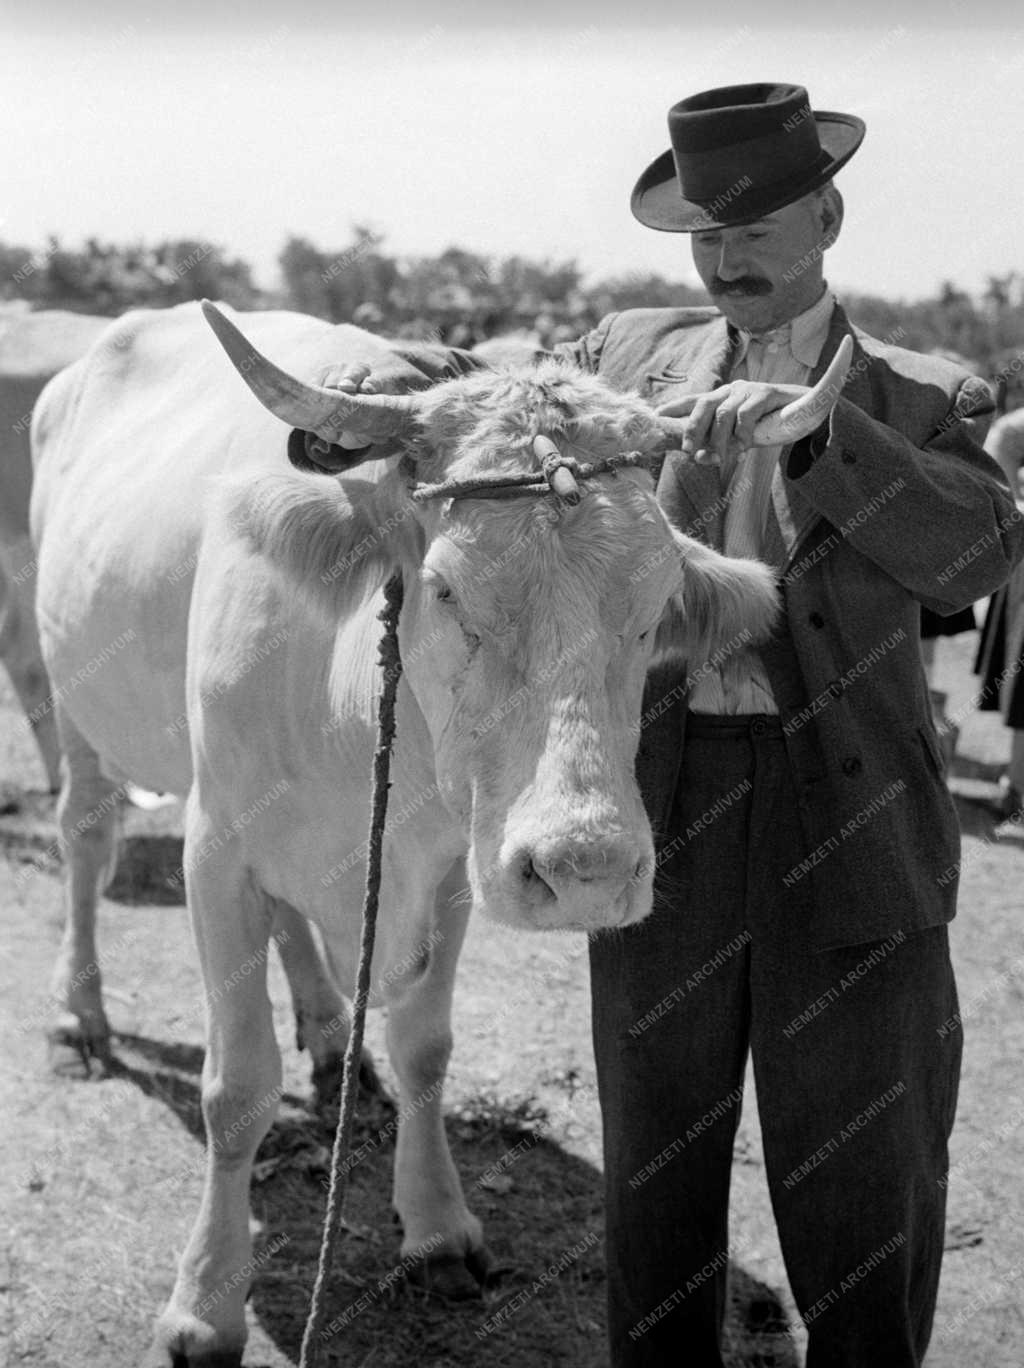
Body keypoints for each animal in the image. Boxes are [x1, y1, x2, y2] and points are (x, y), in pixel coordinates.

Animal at [31, 305, 836, 1362]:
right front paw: (205, 1306)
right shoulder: (217, 850)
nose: (585, 867)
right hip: (70, 700)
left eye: (659, 598)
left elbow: (426, 1050)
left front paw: (439, 1230)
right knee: (86, 838)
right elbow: (235, 1088)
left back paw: (329, 1038)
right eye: (446, 588)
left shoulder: (455, 862)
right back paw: (78, 1016)